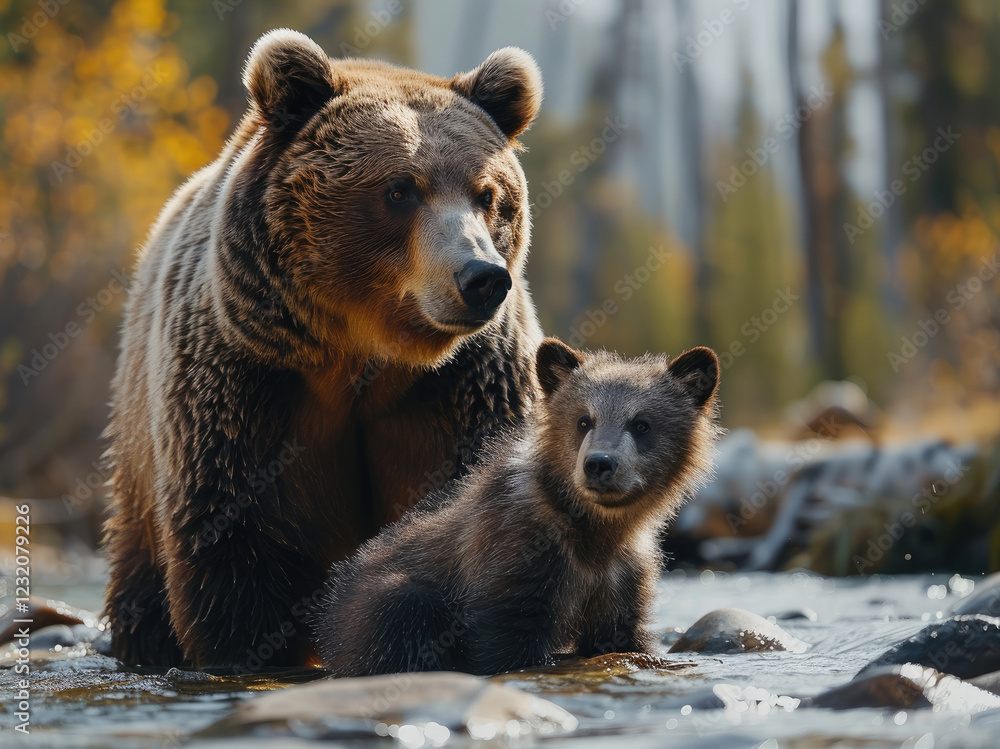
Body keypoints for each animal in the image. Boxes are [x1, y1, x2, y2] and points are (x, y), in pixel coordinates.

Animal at [102, 29, 545, 669]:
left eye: (487, 194)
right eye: (400, 189)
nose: (481, 277)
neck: (361, 355)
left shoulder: (462, 389)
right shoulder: (248, 384)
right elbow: (238, 547)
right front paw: (247, 647)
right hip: (139, 441)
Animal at [315, 338, 721, 676]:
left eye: (641, 424)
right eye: (583, 419)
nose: (599, 464)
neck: (594, 532)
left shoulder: (621, 576)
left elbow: (622, 633)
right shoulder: (516, 552)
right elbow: (506, 640)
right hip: (374, 603)